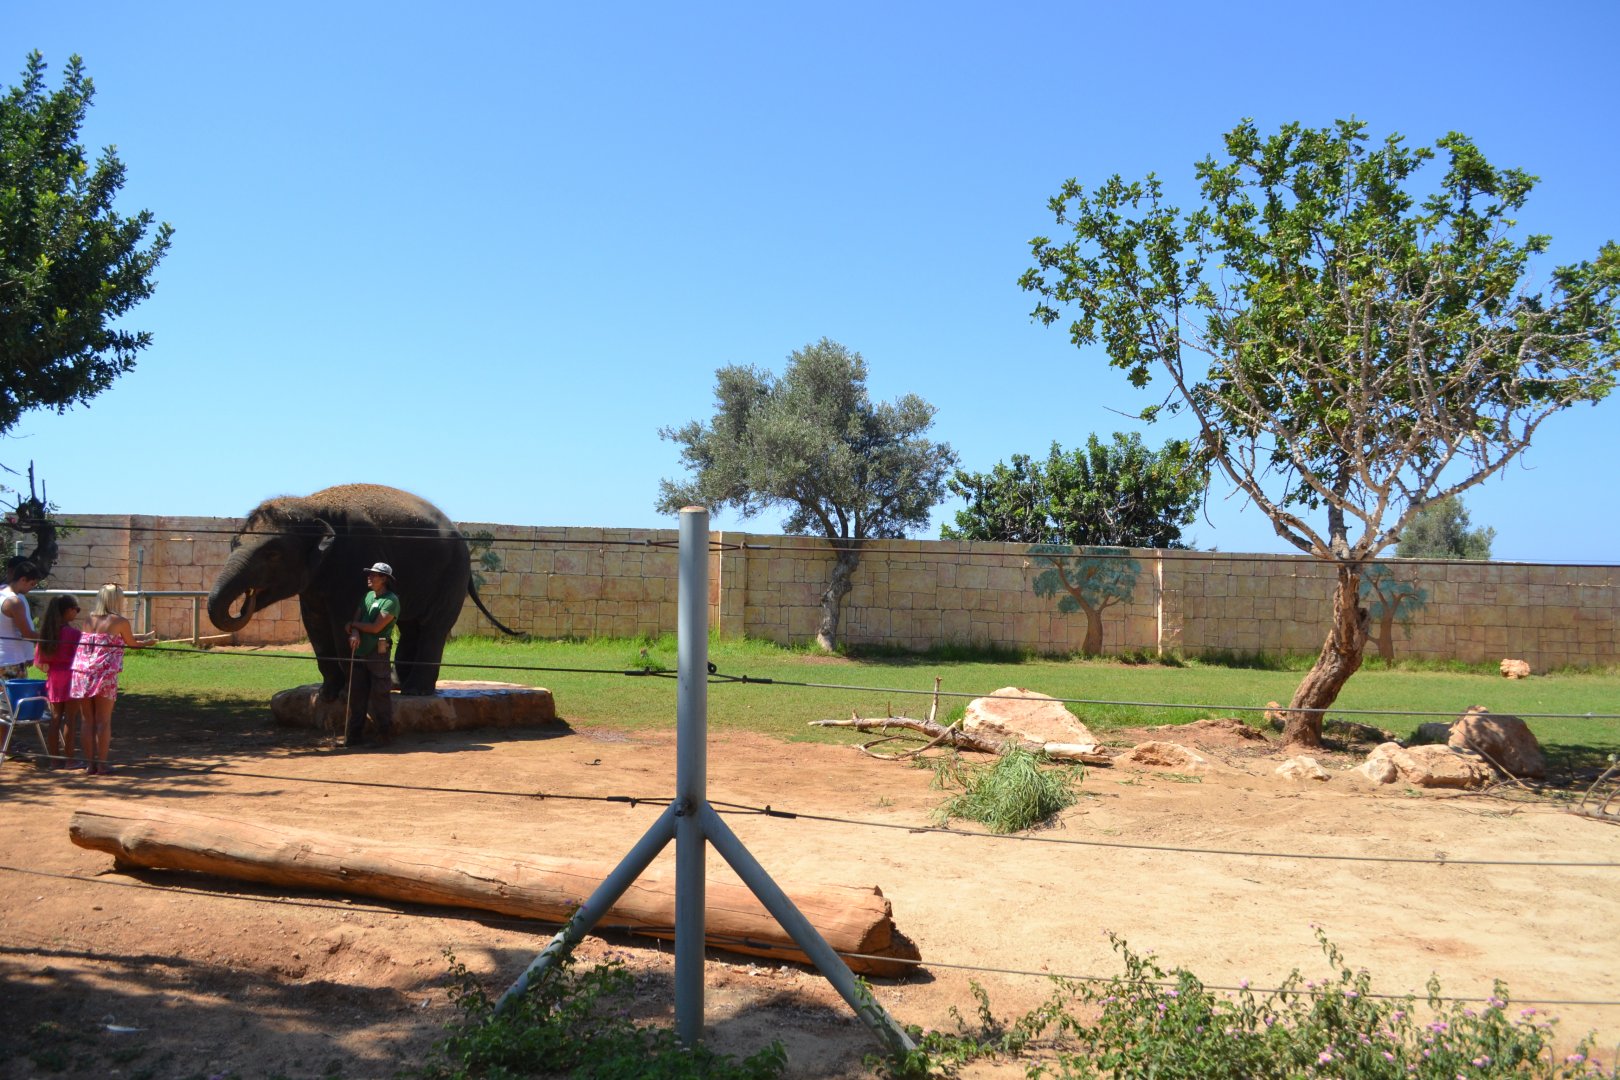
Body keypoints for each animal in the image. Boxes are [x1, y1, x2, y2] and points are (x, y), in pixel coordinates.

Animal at [206, 483, 517, 698]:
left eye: (271, 554)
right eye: (234, 543)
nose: (247, 598)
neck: (313, 505)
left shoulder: (355, 558)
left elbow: (343, 624)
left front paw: (347, 694)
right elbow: (316, 626)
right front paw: (325, 695)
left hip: (452, 576)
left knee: (433, 626)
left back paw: (415, 691)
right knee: (411, 626)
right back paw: (396, 685)